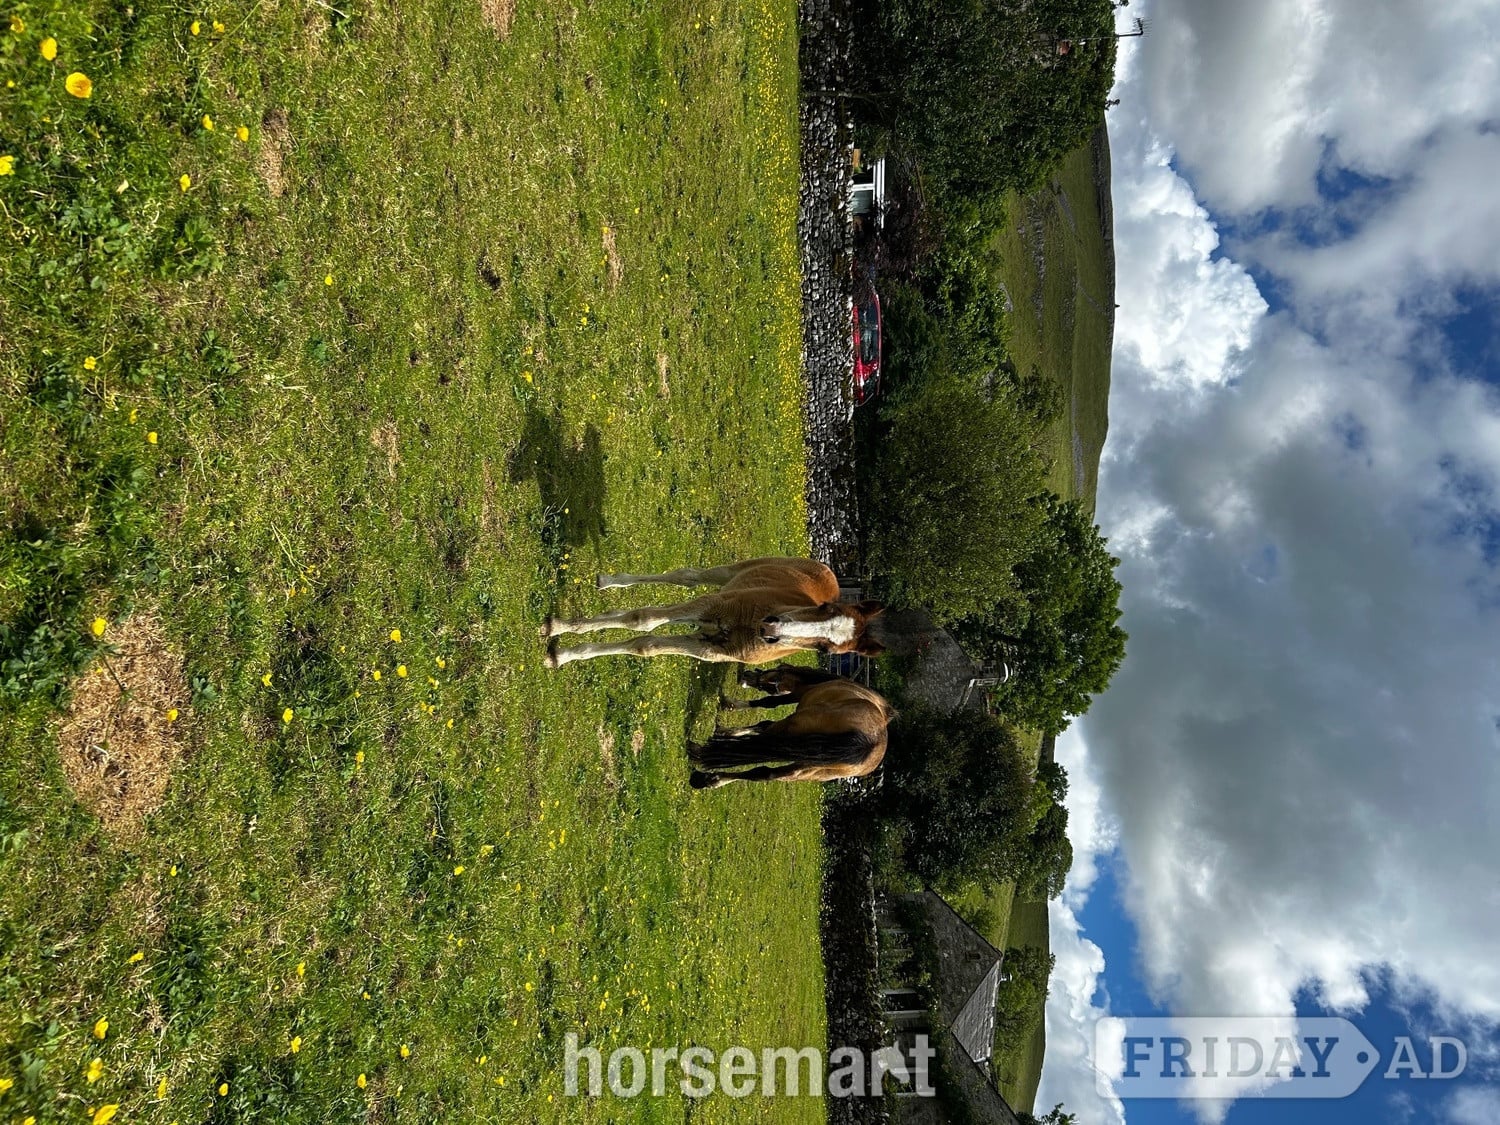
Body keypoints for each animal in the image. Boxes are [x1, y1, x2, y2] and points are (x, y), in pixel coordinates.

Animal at [542, 556, 885, 667]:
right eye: (824, 607)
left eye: (826, 649)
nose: (771, 628)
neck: (746, 627)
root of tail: (828, 572)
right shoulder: (709, 604)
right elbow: (642, 618)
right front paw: (557, 631)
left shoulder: (706, 650)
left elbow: (645, 645)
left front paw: (564, 653)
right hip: (728, 573)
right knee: (687, 576)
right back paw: (608, 581)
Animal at [687, 664, 895, 788]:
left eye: (777, 671)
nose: (746, 675)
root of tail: (869, 743)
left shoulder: (798, 694)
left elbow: (767, 705)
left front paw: (729, 710)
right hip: (808, 769)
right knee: (765, 772)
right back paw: (711, 779)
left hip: (791, 730)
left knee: (760, 746)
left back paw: (701, 753)